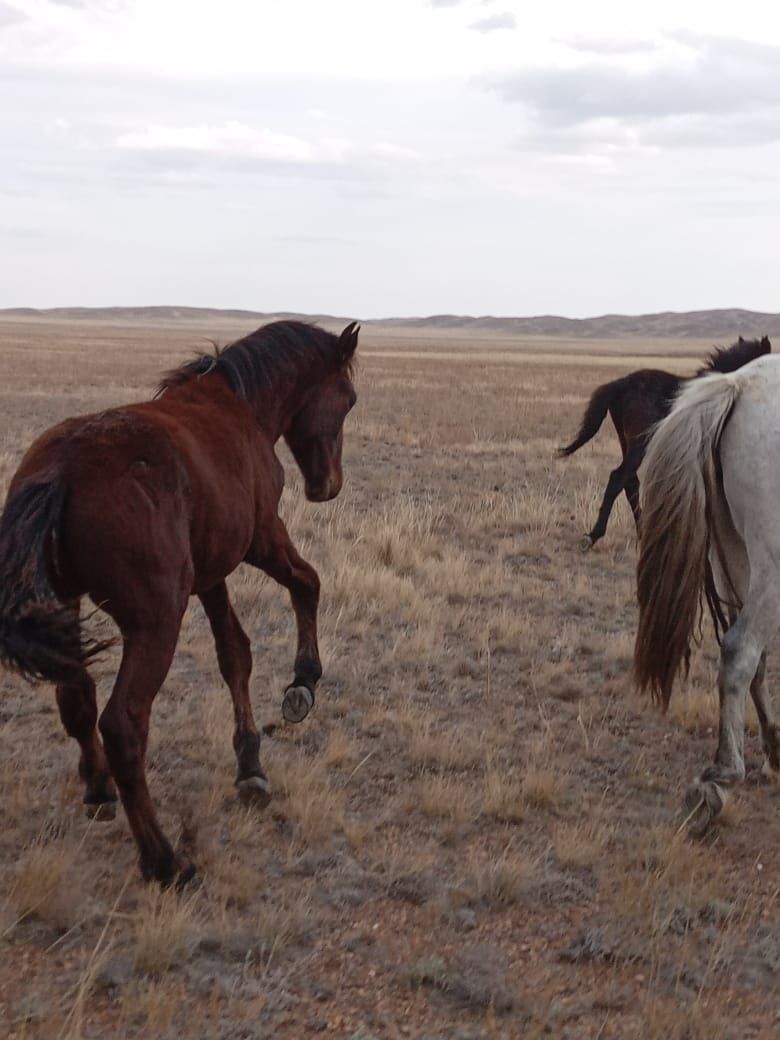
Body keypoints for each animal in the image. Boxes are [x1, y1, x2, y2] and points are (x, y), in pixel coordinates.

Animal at [0, 318, 359, 886]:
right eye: (348, 399)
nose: (328, 486)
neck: (240, 405)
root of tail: (60, 471)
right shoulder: (262, 538)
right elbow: (308, 584)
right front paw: (302, 683)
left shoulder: (209, 573)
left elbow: (234, 655)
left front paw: (250, 764)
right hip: (156, 624)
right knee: (123, 725)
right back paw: (164, 860)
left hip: (66, 604)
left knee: (76, 698)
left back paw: (98, 787)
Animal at [557, 339, 773, 553]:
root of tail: (623, 383)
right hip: (640, 444)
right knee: (618, 479)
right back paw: (594, 536)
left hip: (626, 441)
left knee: (630, 482)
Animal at [636, 353, 780, 832]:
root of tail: (739, 385)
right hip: (770, 564)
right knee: (741, 650)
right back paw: (721, 777)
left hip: (735, 558)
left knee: (753, 659)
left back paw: (773, 749)